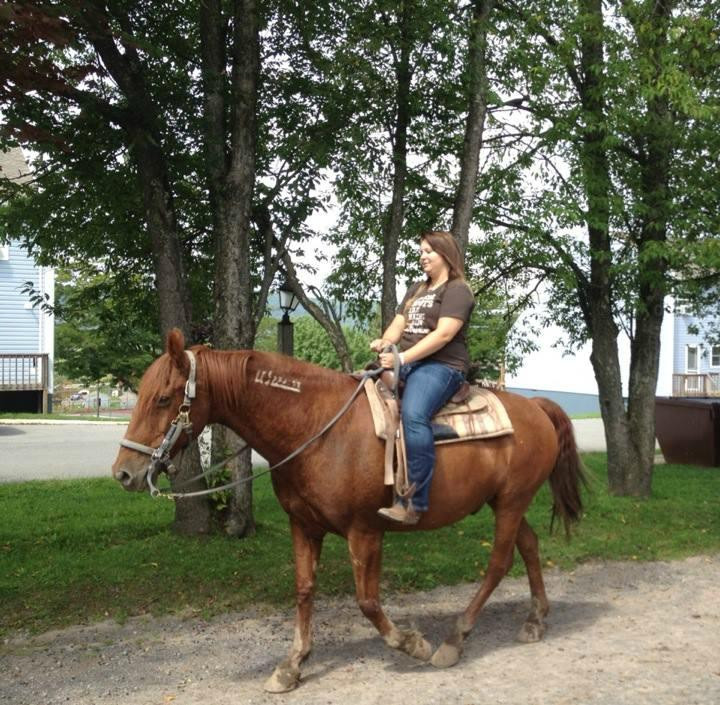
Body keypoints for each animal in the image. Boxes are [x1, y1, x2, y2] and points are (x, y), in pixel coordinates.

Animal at [112, 330, 584, 692]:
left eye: (163, 398)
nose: (124, 473)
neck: (317, 428)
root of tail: (536, 406)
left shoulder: (365, 532)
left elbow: (368, 601)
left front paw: (412, 643)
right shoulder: (303, 526)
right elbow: (304, 590)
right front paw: (291, 665)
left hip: (510, 502)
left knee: (499, 562)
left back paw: (454, 639)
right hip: (506, 502)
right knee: (529, 545)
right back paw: (535, 620)